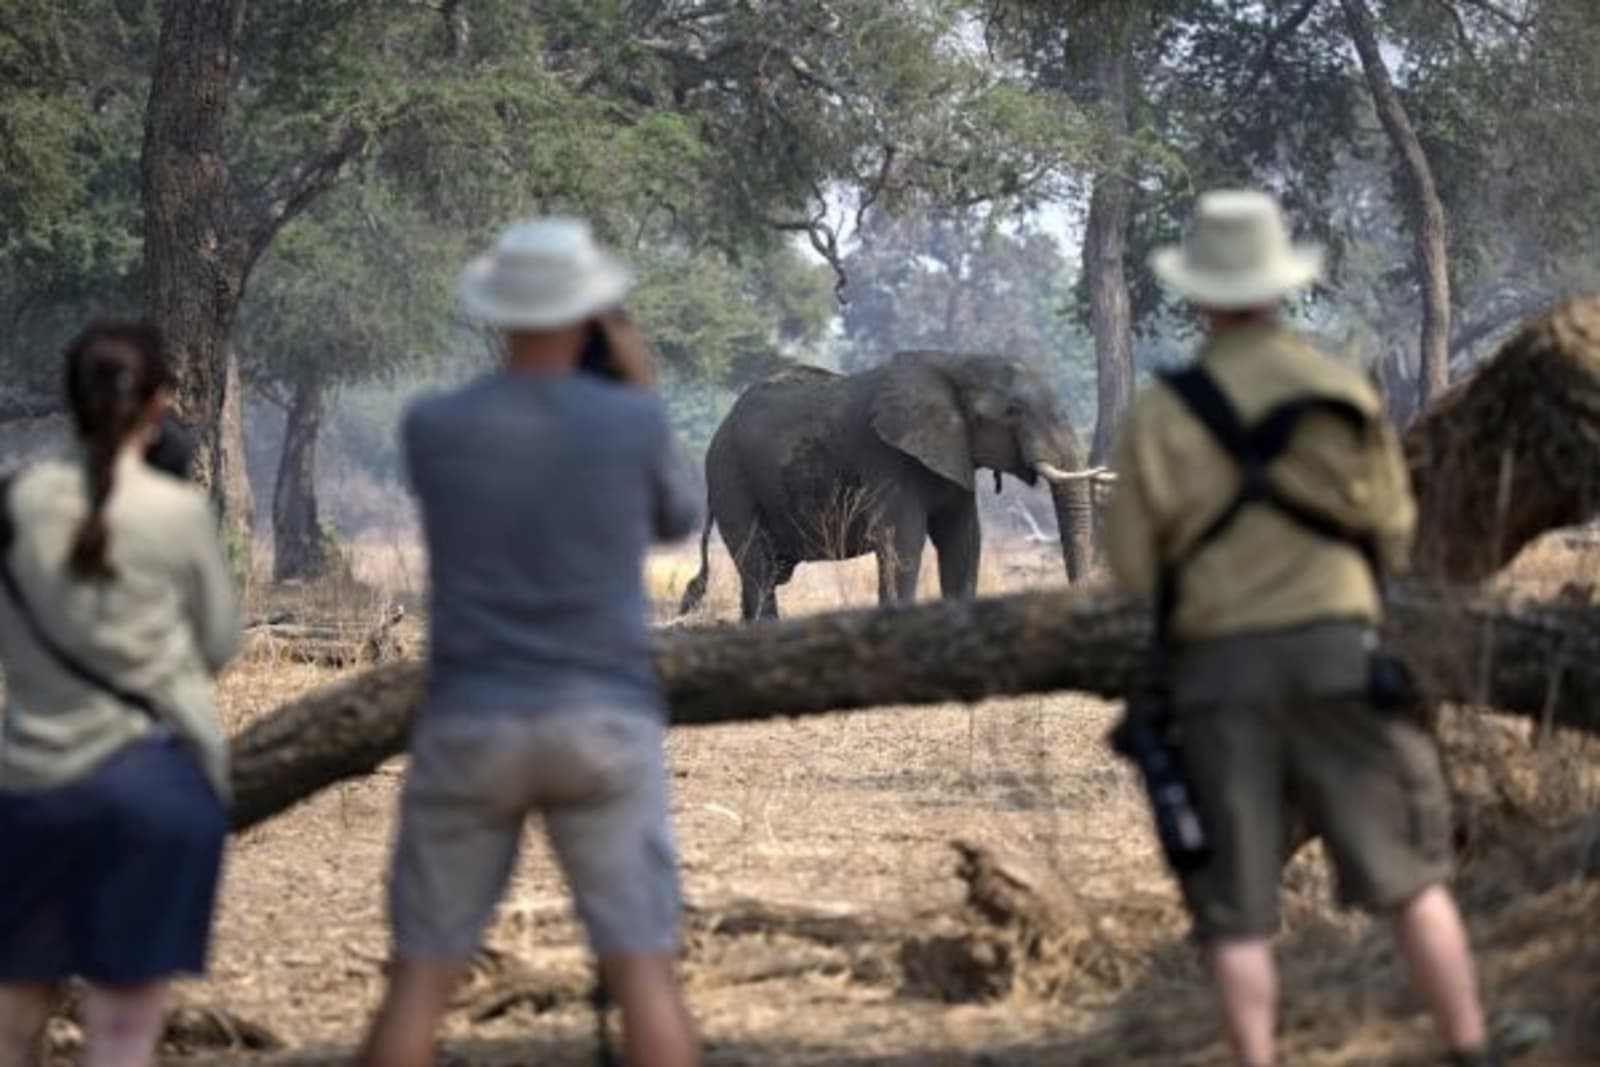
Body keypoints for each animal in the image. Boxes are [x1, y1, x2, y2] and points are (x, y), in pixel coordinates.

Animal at [677, 351, 1099, 621]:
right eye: (1013, 412)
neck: (955, 362)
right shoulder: (888, 459)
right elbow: (903, 541)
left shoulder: (954, 457)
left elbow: (963, 539)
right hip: (731, 478)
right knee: (758, 565)